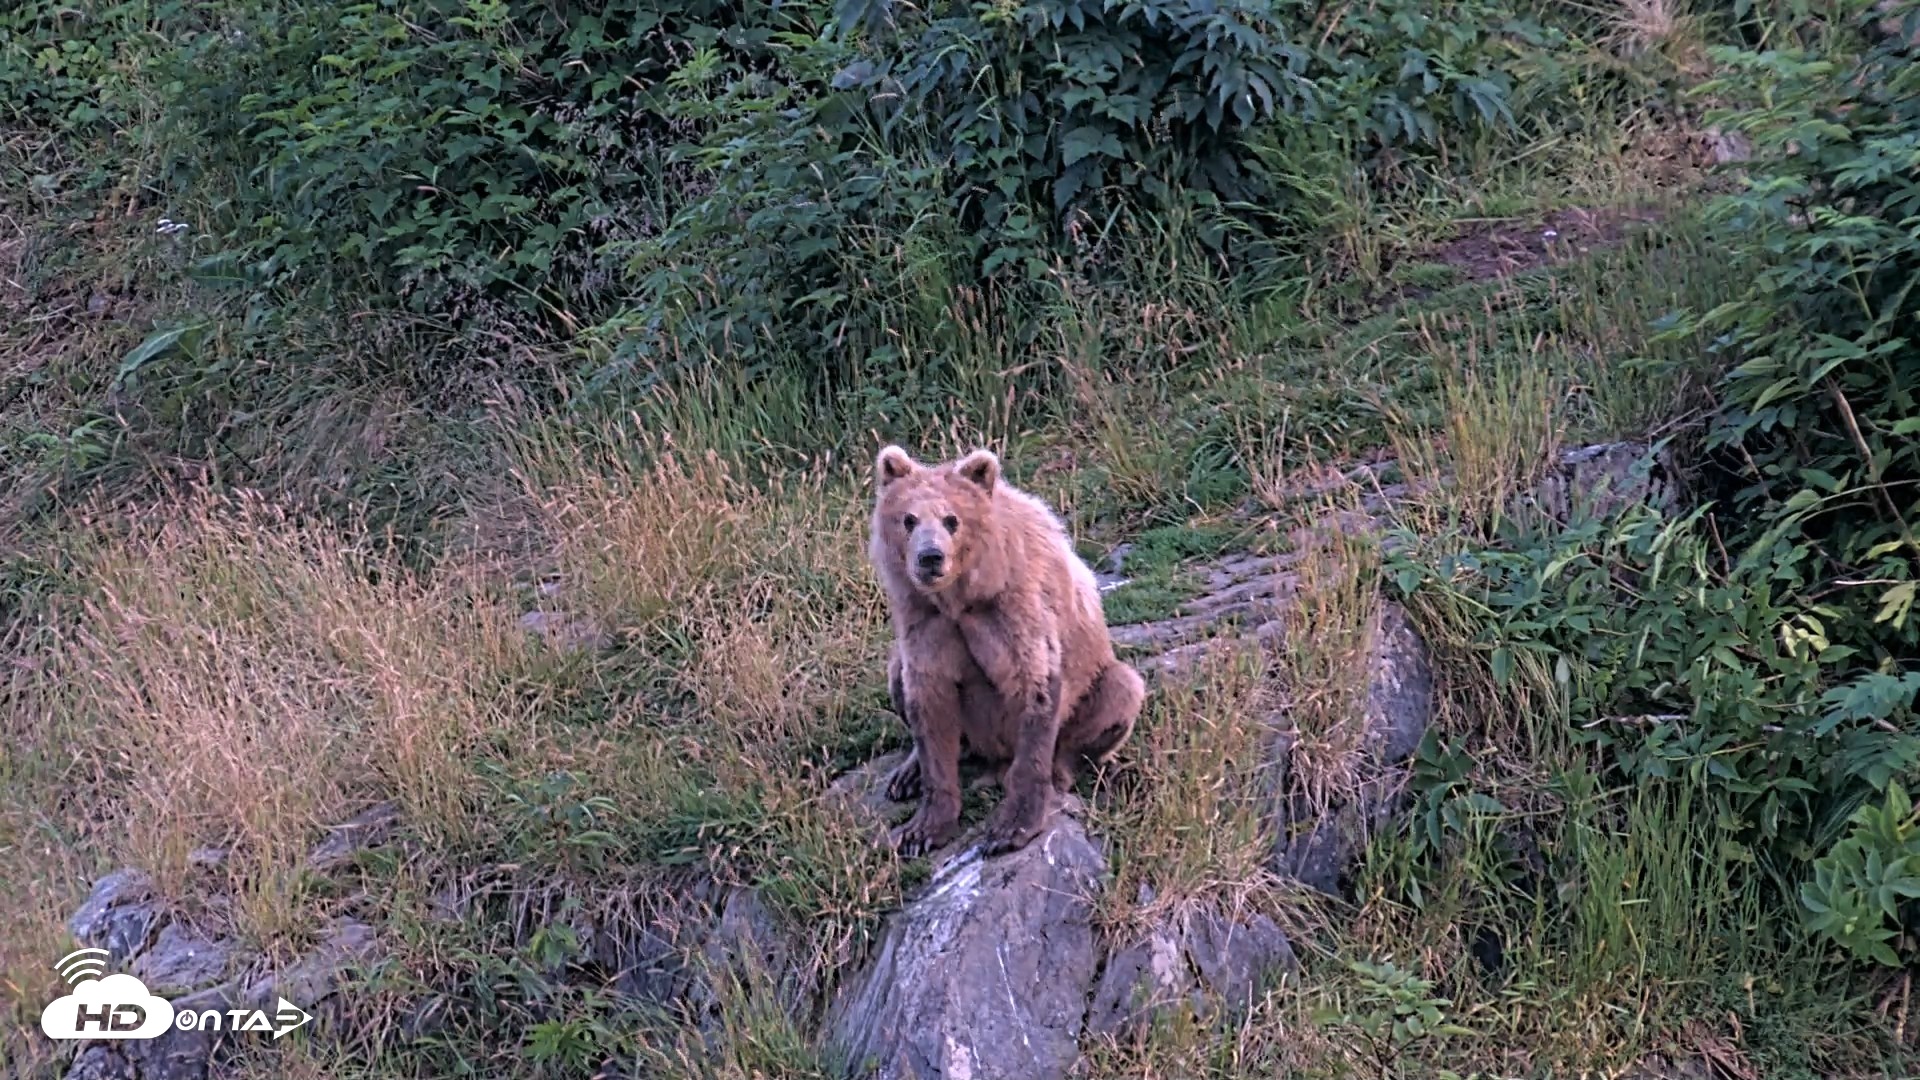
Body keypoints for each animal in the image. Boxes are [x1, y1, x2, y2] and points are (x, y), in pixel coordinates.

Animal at [868, 444, 1145, 856]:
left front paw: (1011, 826)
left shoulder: (1015, 608)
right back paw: (907, 774)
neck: (963, 597)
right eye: (908, 519)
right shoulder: (925, 622)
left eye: (952, 519)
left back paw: (1064, 770)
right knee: (896, 675)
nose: (930, 557)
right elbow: (928, 701)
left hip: (1099, 683)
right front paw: (922, 830)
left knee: (1120, 689)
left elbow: (1034, 685)